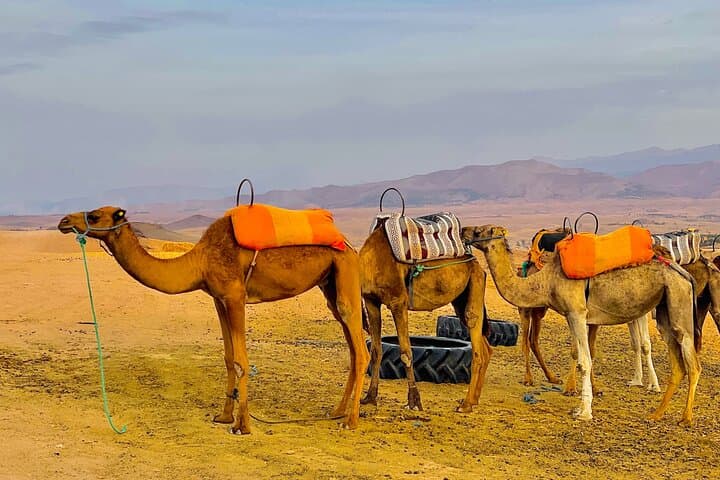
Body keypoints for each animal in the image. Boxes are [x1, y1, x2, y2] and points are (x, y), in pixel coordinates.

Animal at [58, 206, 369, 434]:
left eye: (94, 215)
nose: (64, 221)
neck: (200, 261)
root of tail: (348, 243)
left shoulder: (235, 296)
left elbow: (242, 358)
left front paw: (242, 425)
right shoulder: (218, 299)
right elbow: (229, 357)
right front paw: (224, 416)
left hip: (345, 273)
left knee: (361, 349)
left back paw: (350, 421)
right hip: (329, 285)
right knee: (353, 349)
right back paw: (337, 411)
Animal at [359, 226, 492, 413]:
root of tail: (477, 265)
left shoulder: (398, 302)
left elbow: (406, 353)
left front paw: (414, 401)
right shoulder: (371, 300)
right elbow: (376, 351)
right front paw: (370, 397)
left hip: (475, 285)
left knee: (477, 349)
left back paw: (465, 405)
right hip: (461, 300)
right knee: (485, 348)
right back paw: (473, 401)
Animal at [462, 225, 701, 425]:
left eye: (480, 231)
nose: (464, 230)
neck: (545, 280)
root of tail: (684, 273)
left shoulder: (577, 312)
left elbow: (585, 361)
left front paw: (584, 412)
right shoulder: (572, 315)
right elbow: (580, 355)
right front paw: (580, 400)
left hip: (678, 299)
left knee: (691, 361)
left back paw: (686, 418)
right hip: (664, 308)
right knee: (677, 363)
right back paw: (656, 414)